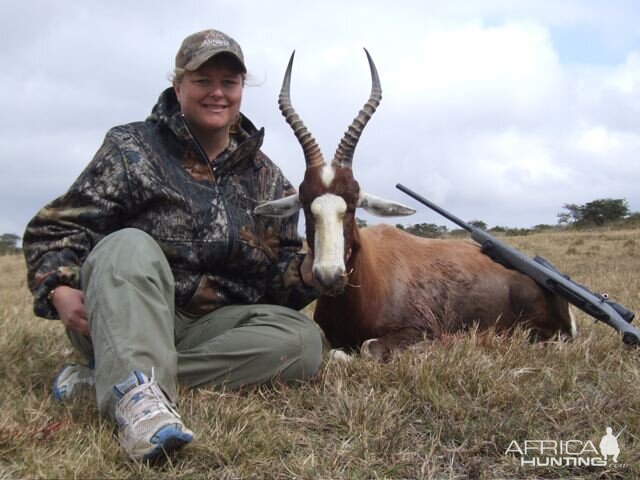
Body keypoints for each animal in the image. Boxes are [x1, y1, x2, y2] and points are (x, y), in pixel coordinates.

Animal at [255, 51, 576, 360]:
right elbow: (334, 351)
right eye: (306, 205)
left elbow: (364, 348)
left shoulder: (414, 330)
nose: (329, 276)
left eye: (353, 205)